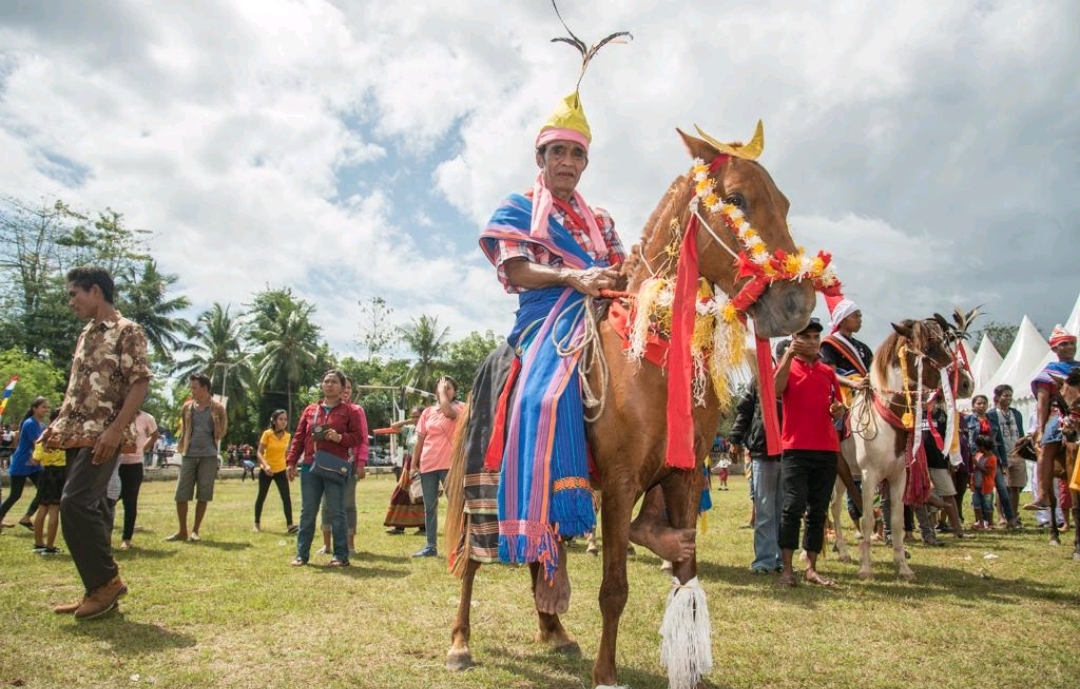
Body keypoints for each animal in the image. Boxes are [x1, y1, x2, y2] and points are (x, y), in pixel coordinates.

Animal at [442, 125, 812, 689]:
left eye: (785, 202)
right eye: (736, 199)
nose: (798, 303)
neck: (653, 355)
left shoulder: (686, 473)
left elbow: (686, 576)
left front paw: (689, 668)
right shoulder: (617, 483)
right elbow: (613, 589)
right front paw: (606, 672)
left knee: (538, 551)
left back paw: (554, 630)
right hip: (484, 488)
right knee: (473, 556)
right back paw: (461, 642)